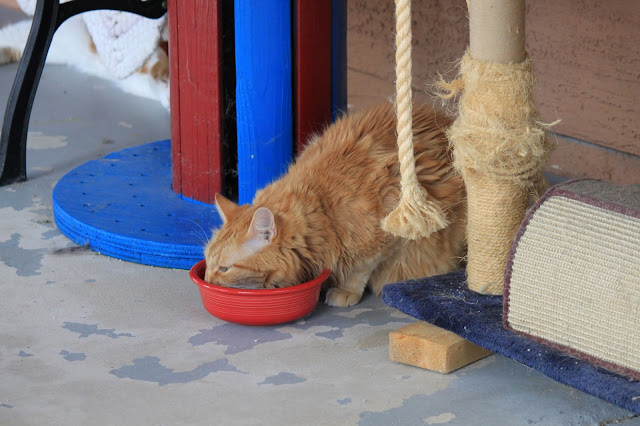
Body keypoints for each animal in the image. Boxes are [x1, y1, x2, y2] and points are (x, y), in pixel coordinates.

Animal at [204, 103, 467, 307]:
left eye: (224, 269)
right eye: (206, 261)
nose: (207, 280)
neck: (323, 208)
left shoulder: (389, 234)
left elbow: (360, 269)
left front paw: (346, 290)